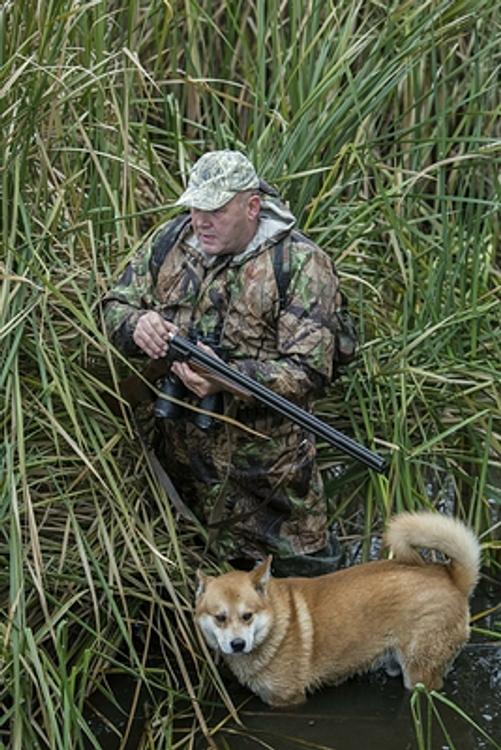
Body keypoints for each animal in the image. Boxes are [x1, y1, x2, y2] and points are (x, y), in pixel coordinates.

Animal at [193, 516, 478, 708]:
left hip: (419, 674)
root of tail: (453, 578)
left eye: (247, 615)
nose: (237, 644)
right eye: (220, 618)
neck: (274, 625)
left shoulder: (289, 699)